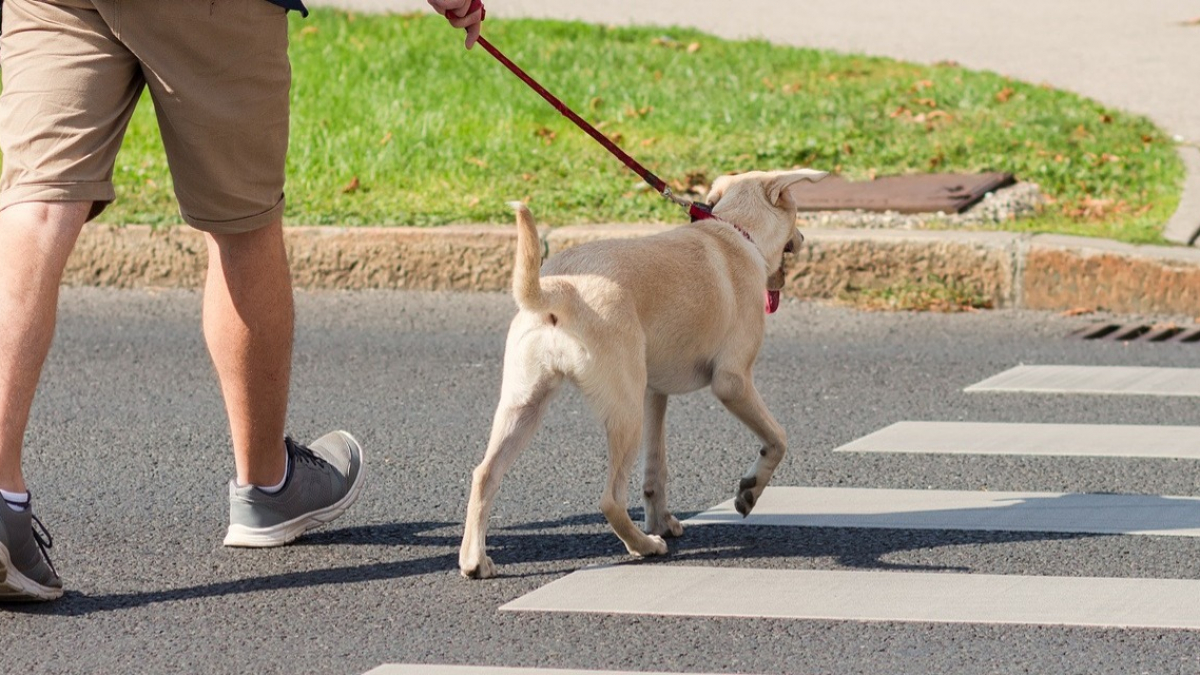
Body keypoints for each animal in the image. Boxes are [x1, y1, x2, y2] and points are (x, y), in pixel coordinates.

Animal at [456, 169, 825, 578]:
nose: (803, 238)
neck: (734, 231)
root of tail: (559, 289)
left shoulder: (654, 393)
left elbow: (656, 469)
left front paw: (662, 520)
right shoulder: (733, 382)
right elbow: (777, 439)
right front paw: (749, 491)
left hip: (526, 406)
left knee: (484, 474)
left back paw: (474, 560)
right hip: (624, 412)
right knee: (610, 500)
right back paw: (644, 546)